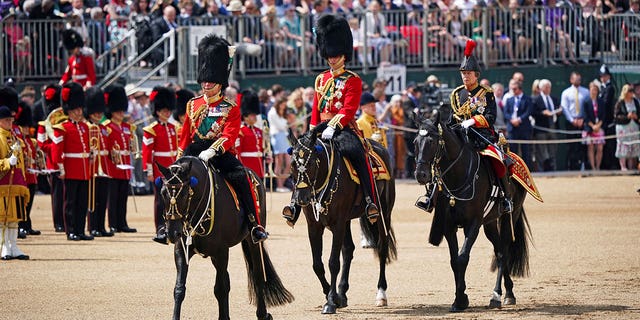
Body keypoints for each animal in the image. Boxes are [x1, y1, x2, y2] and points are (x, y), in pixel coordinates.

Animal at [159, 157, 294, 320]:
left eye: (184, 194)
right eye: (162, 193)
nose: (172, 233)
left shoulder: (221, 251)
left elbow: (221, 288)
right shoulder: (181, 250)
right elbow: (179, 289)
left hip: (252, 241)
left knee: (257, 275)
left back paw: (262, 314)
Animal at [286, 125, 396, 316]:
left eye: (311, 163)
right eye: (292, 164)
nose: (301, 199)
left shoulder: (337, 223)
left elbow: (333, 262)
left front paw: (330, 301)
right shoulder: (314, 225)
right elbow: (317, 264)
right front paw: (333, 296)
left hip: (383, 215)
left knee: (382, 247)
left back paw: (381, 293)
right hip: (346, 221)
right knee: (348, 249)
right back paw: (343, 292)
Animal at [412, 106, 532, 312]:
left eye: (432, 141)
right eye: (415, 142)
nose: (421, 175)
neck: (458, 176)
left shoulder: (473, 223)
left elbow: (462, 258)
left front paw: (461, 299)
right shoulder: (449, 226)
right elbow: (454, 261)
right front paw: (460, 298)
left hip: (510, 215)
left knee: (504, 251)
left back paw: (498, 295)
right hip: (490, 222)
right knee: (499, 250)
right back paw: (508, 291)